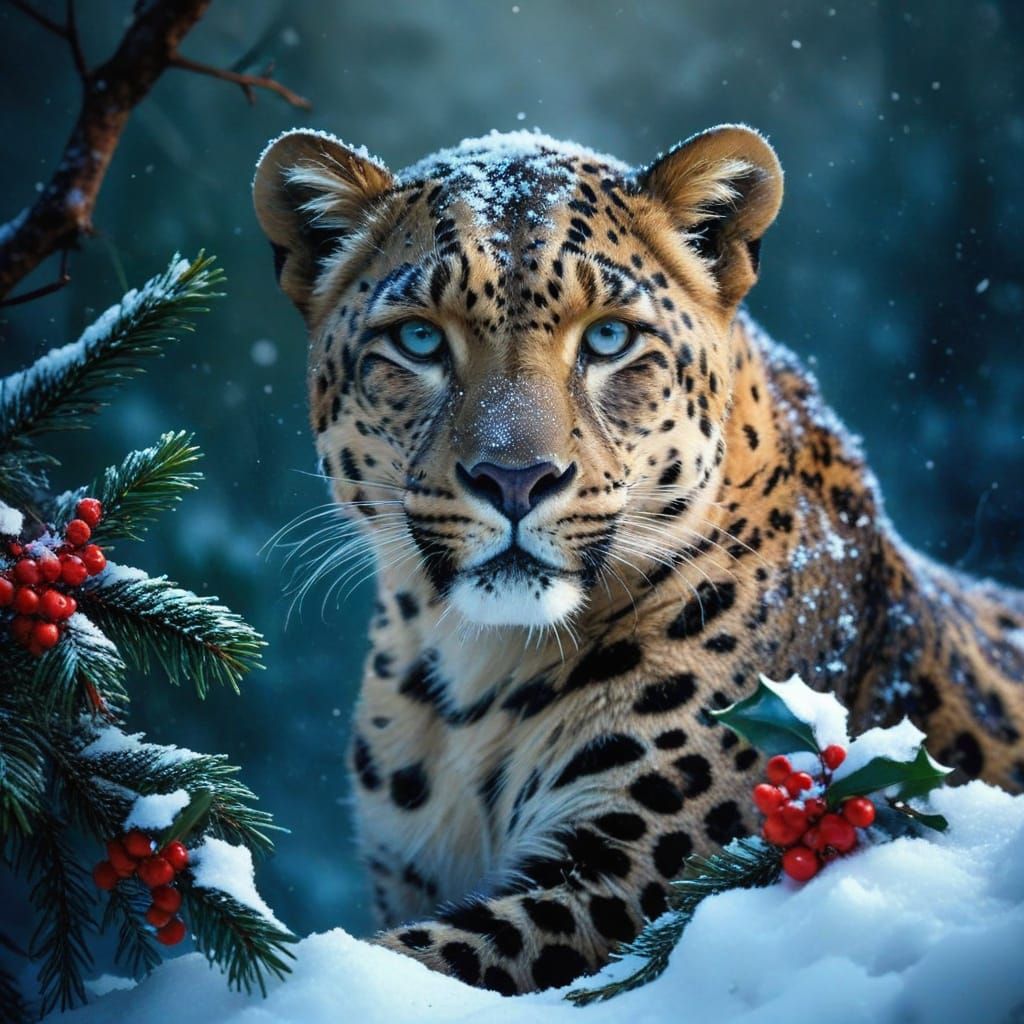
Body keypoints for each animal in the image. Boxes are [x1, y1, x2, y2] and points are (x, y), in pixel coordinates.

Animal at [252, 124, 1024, 995]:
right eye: (418, 339)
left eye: (609, 338)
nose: (514, 479)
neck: (476, 670)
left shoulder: (621, 881)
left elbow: (419, 958)